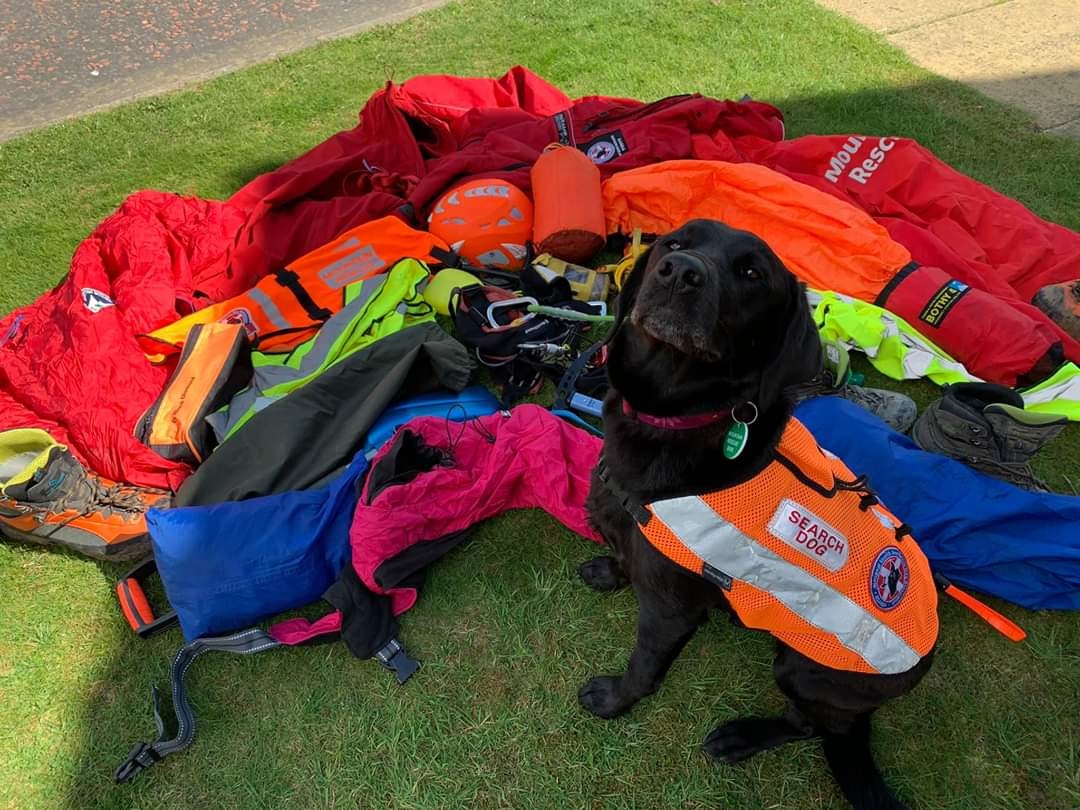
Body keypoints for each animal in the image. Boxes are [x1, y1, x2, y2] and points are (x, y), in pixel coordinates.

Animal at [578, 219, 933, 807]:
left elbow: (644, 668)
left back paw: (742, 737)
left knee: (809, 724)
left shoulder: (670, 612)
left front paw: (613, 701)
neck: (676, 421)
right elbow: (625, 553)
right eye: (675, 243)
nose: (680, 272)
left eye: (751, 274)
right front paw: (609, 570)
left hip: (803, 670)